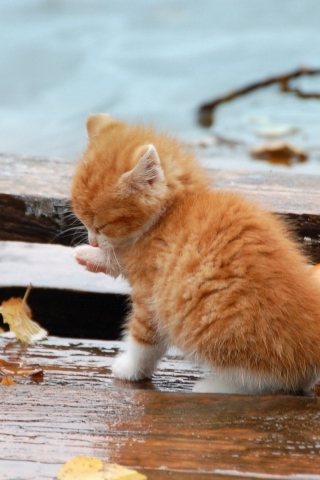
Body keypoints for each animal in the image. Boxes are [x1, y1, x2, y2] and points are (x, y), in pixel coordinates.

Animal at [72, 114, 320, 396]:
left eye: (101, 225)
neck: (170, 212)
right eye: (85, 222)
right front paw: (90, 255)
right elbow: (118, 258)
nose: (91, 239)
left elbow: (144, 341)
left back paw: (215, 385)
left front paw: (130, 369)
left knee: (273, 379)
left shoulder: (152, 295)